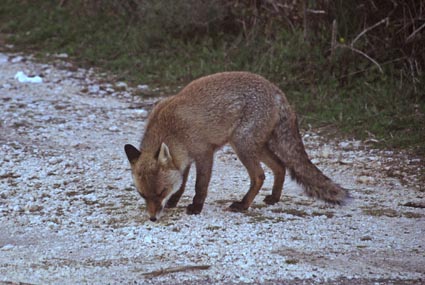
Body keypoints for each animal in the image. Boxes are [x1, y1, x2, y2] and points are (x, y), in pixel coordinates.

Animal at [123, 71, 348, 222]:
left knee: (259, 176)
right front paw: (174, 201)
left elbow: (199, 185)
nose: (152, 218)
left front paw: (196, 207)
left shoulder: (204, 153)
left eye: (160, 192)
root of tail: (276, 90)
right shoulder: (183, 158)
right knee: (280, 166)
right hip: (255, 146)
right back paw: (274, 198)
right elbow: (183, 183)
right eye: (143, 195)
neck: (172, 129)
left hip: (242, 146)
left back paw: (243, 205)